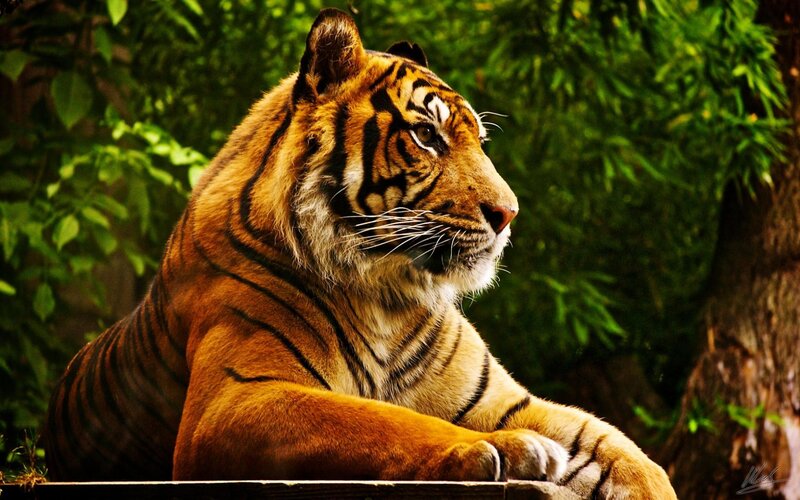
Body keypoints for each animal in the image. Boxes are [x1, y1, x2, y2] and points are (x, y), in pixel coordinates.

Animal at [45, 8, 676, 498]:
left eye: (478, 140)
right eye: (427, 136)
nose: (509, 214)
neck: (388, 294)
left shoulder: (503, 397)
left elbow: (624, 450)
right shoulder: (234, 398)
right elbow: (382, 419)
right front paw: (505, 449)